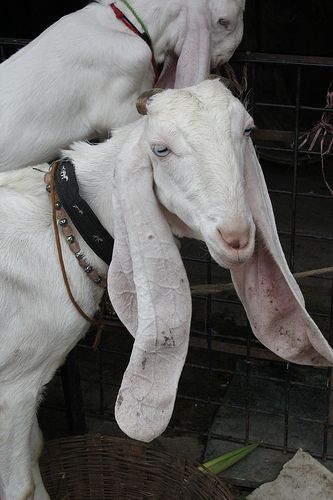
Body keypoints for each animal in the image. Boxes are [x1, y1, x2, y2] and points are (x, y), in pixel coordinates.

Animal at [1, 78, 330, 500]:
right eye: (161, 149)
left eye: (247, 131)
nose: (237, 237)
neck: (62, 223)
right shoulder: (16, 386)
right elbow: (22, 485)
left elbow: (37, 448)